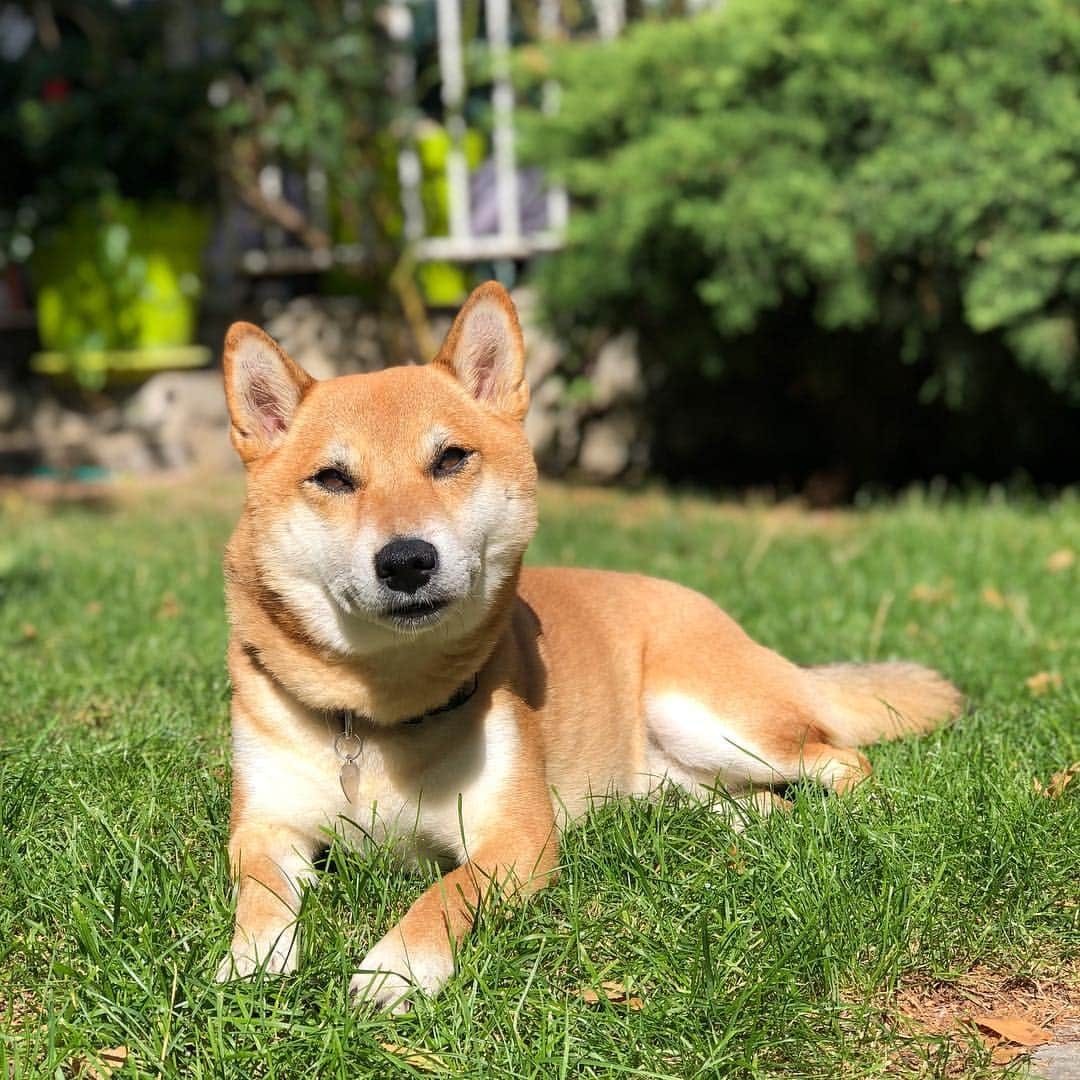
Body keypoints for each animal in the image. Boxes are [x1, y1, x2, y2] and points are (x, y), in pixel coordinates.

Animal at [212, 280, 963, 1010]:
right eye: (333, 478)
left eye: (451, 458)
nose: (406, 561)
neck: (378, 711)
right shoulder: (264, 827)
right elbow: (259, 893)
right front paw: (253, 959)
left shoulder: (515, 839)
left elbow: (444, 892)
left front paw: (397, 965)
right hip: (681, 774)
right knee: (754, 801)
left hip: (707, 716)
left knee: (843, 761)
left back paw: (840, 816)